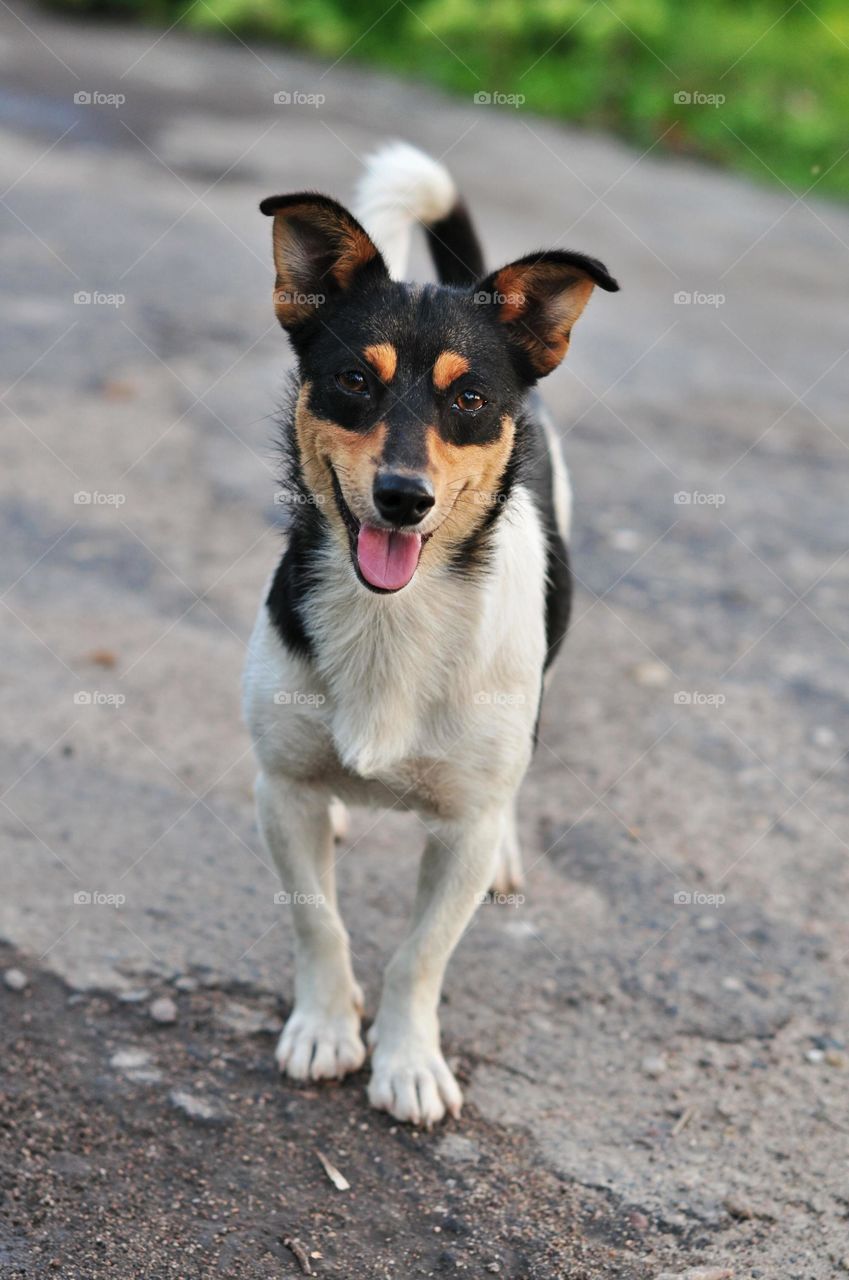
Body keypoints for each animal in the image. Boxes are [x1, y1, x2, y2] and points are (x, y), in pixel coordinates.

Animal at [244, 137, 617, 1121]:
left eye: (471, 399)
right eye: (352, 382)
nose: (402, 498)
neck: (392, 615)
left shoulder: (460, 831)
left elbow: (420, 955)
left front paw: (408, 1062)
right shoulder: (280, 792)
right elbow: (320, 922)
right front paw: (324, 1028)